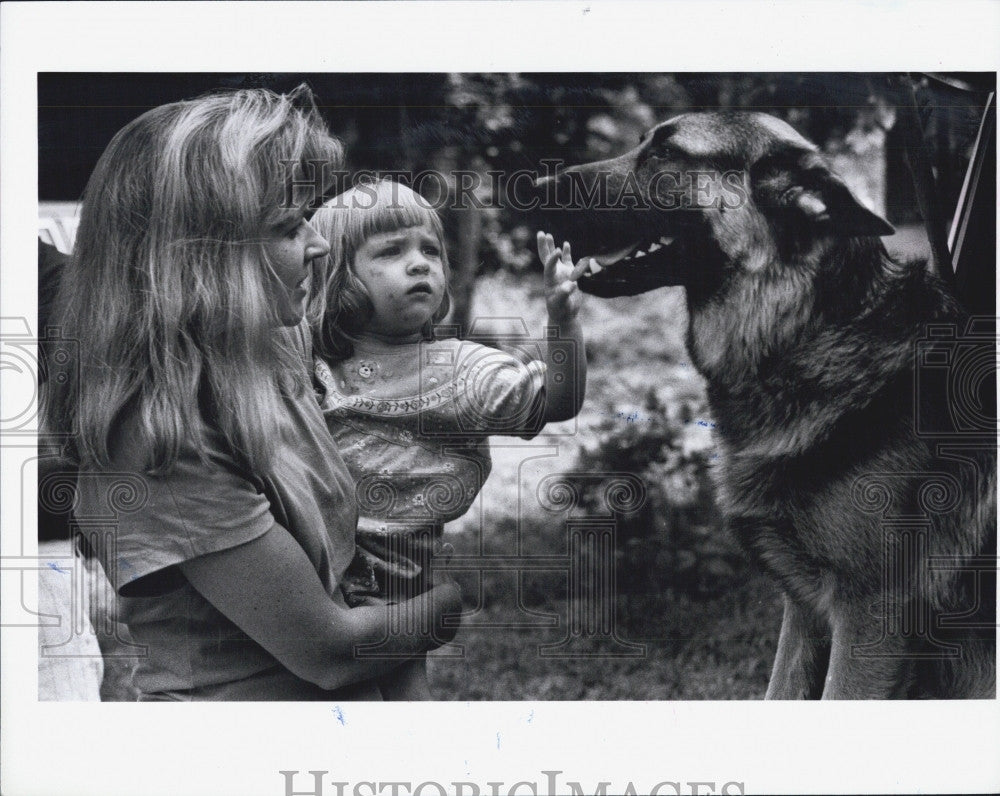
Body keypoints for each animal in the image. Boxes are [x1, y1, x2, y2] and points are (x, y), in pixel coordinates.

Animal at [544, 112, 996, 696]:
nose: (533, 186)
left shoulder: (870, 618)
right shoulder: (805, 611)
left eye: (667, 153)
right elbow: (778, 690)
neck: (807, 332)